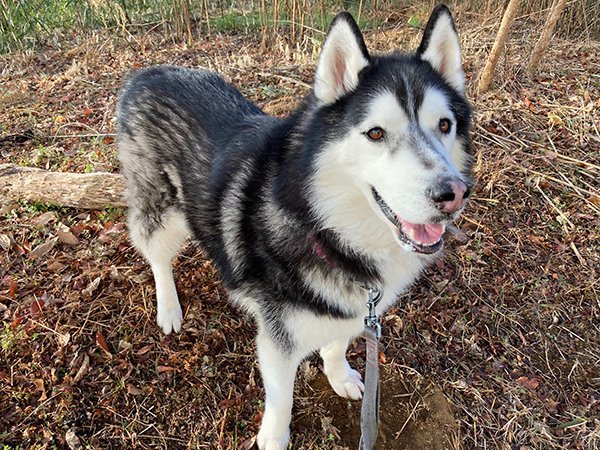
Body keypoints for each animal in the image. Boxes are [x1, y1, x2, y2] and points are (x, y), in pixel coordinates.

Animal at [117, 4, 474, 450]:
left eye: (444, 125)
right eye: (376, 133)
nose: (453, 193)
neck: (327, 230)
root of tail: (147, 73)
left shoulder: (356, 310)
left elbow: (337, 346)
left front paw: (340, 376)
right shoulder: (278, 340)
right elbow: (282, 398)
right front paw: (274, 437)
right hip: (161, 214)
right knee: (158, 258)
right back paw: (168, 308)